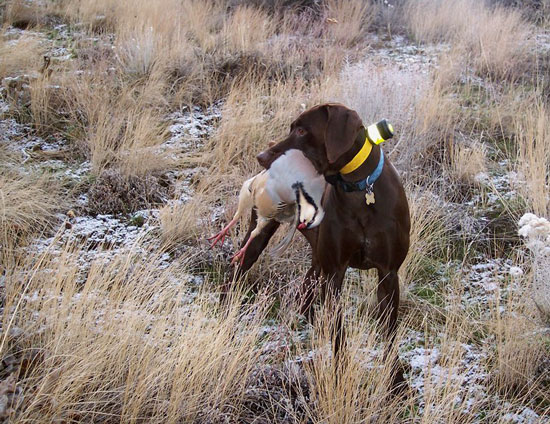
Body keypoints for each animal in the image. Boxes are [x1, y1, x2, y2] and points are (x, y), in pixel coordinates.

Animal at [227, 103, 410, 388]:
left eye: (302, 130)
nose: (261, 156)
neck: (360, 190)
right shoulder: (335, 273)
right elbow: (338, 333)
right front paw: (340, 375)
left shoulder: (388, 274)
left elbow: (389, 335)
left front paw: (397, 383)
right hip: (261, 238)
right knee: (238, 270)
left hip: (317, 263)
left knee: (306, 296)